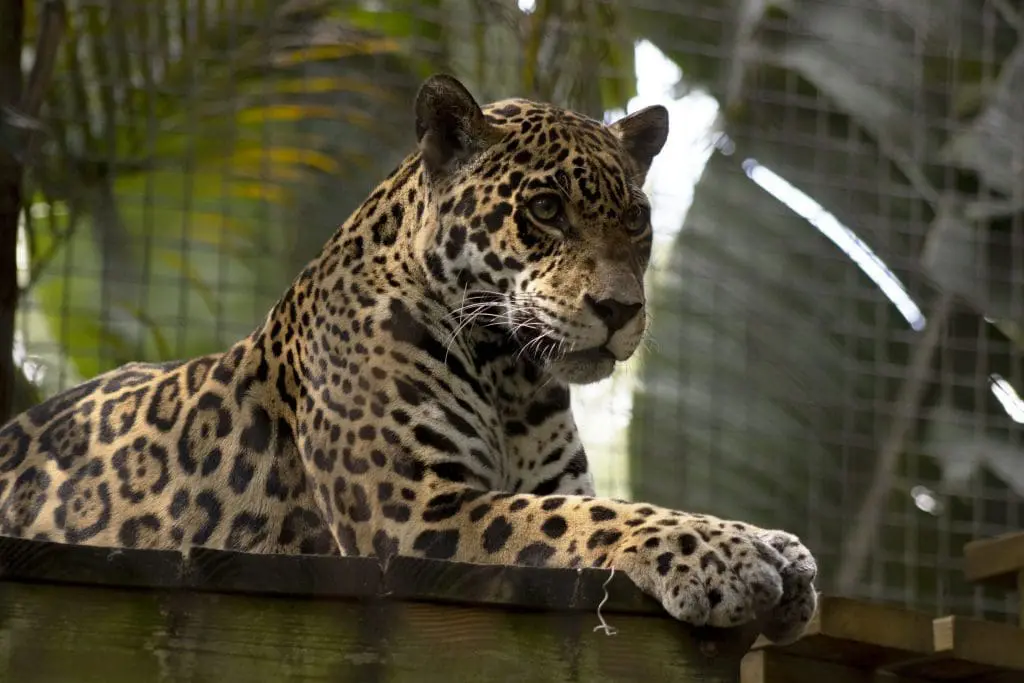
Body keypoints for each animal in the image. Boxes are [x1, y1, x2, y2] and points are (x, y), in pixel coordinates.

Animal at [0, 74, 817, 644]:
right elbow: (594, 521)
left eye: (638, 222)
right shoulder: (415, 512)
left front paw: (782, 550)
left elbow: (597, 505)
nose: (621, 310)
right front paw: (731, 554)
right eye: (546, 210)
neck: (512, 379)